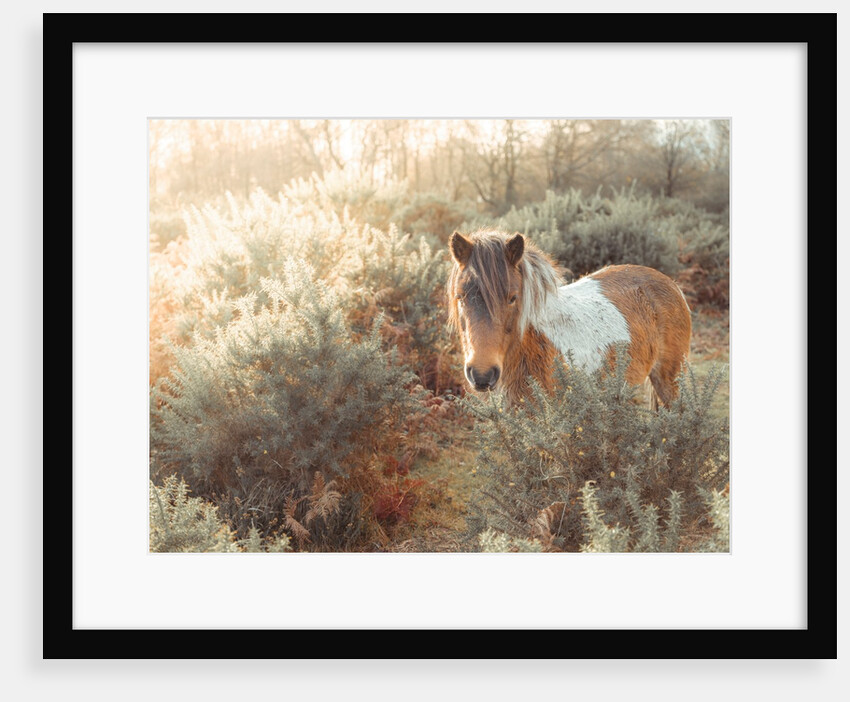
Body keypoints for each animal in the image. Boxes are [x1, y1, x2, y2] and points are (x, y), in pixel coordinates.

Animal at [447, 229, 692, 409]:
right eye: (460, 296)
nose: (482, 374)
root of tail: (671, 284)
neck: (534, 343)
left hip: (670, 382)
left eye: (513, 298)